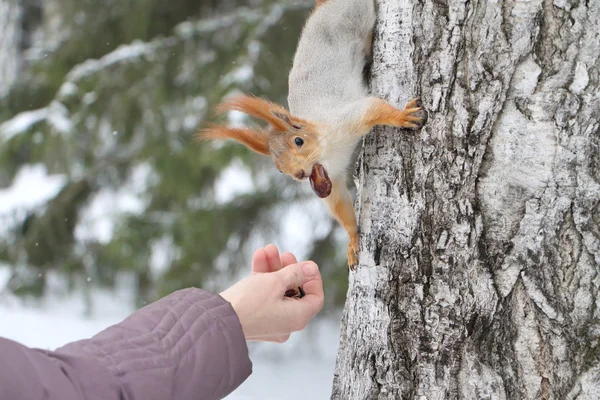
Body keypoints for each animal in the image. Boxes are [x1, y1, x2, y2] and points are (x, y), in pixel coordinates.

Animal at [199, 0, 424, 270]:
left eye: (299, 141)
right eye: (278, 169)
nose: (299, 174)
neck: (328, 150)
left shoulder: (347, 118)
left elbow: (375, 109)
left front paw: (403, 117)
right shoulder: (332, 177)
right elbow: (339, 205)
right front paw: (352, 240)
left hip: (353, 17)